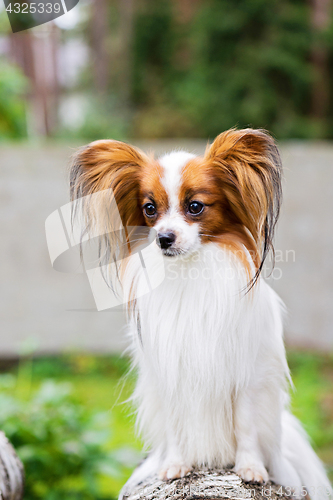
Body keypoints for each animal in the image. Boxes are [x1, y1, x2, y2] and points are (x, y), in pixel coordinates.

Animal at [69, 128, 330, 500]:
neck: (191, 270)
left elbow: (246, 424)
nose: (164, 238)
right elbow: (177, 426)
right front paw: (176, 465)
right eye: (150, 209)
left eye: (195, 207)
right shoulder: (171, 371)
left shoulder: (247, 373)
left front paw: (250, 468)